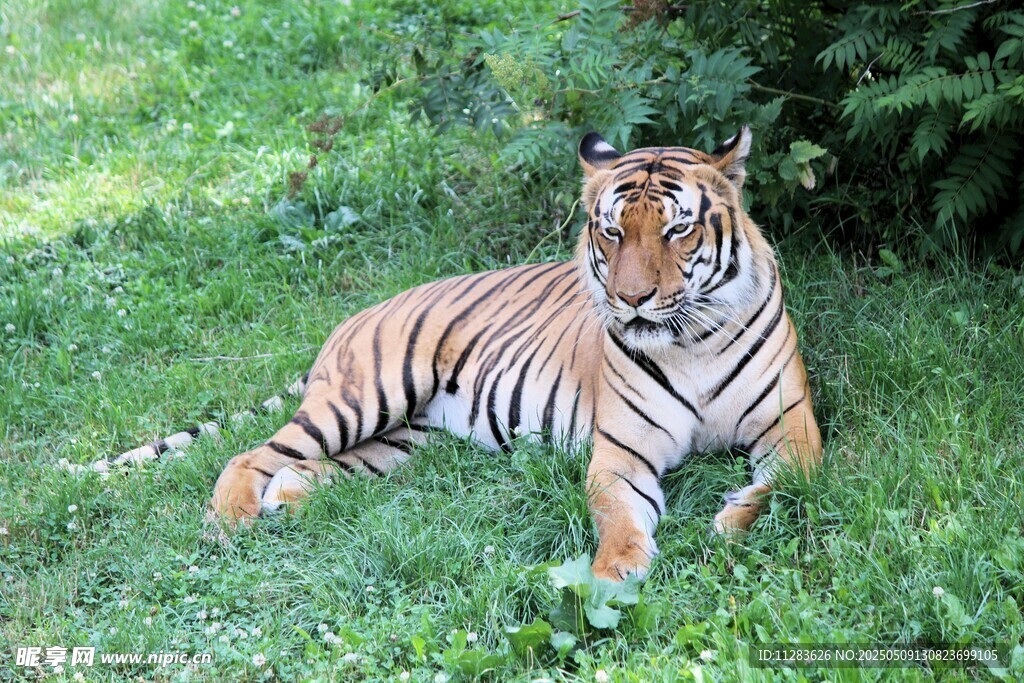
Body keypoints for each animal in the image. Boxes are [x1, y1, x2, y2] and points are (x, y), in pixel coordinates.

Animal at [69, 127, 822, 581]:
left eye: (676, 230)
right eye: (610, 231)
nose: (632, 299)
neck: (691, 338)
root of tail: (356, 315)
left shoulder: (791, 429)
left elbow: (786, 485)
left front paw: (730, 519)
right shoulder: (622, 452)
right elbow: (616, 516)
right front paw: (615, 573)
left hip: (404, 440)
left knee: (305, 468)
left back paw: (285, 498)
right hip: (364, 396)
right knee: (251, 453)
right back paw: (228, 524)